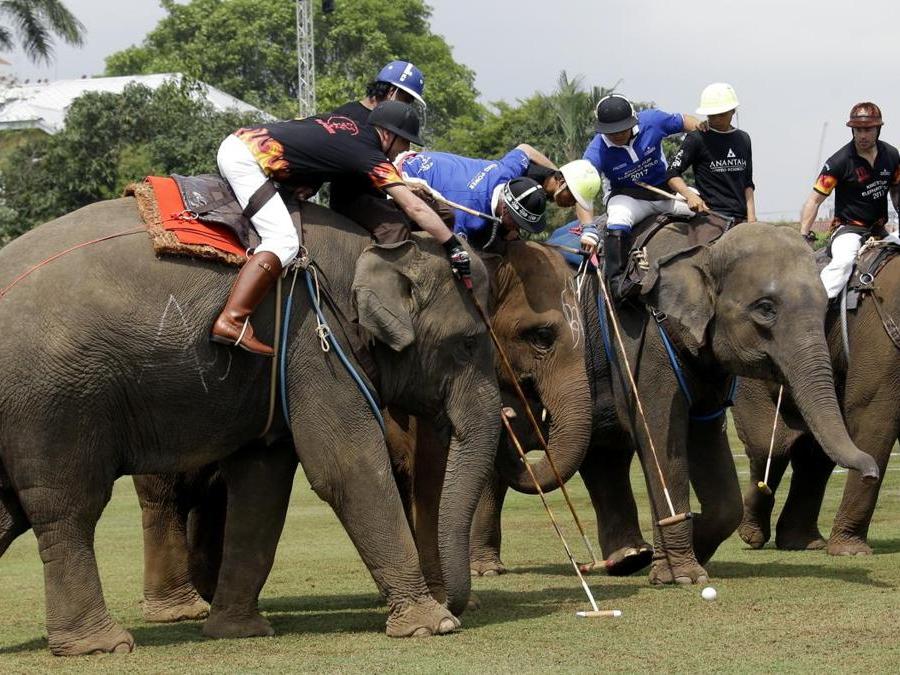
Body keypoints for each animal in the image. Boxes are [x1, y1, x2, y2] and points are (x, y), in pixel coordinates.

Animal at [0, 197, 501, 655]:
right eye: (468, 343)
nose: (458, 603)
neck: (367, 248)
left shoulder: (280, 367)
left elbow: (263, 484)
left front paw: (238, 631)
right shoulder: (314, 340)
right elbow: (347, 469)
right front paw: (431, 626)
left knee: (11, 513)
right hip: (54, 403)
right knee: (68, 509)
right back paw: (101, 645)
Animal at [129, 239, 594, 616]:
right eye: (541, 336)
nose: (516, 412)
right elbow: (427, 473)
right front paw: (442, 600)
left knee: (213, 492)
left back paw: (210, 597)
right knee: (167, 495)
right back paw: (180, 609)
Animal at [471, 221, 879, 585]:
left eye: (825, 306)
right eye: (765, 309)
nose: (874, 471)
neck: (704, 249)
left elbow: (710, 452)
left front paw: (687, 549)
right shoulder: (645, 341)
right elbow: (660, 439)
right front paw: (682, 574)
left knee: (603, 454)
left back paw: (630, 558)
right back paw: (487, 569)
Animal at [735, 252, 900, 555]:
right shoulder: (881, 340)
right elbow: (873, 417)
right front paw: (851, 551)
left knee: (813, 456)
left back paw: (803, 543)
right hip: (752, 377)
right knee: (770, 449)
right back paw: (752, 534)